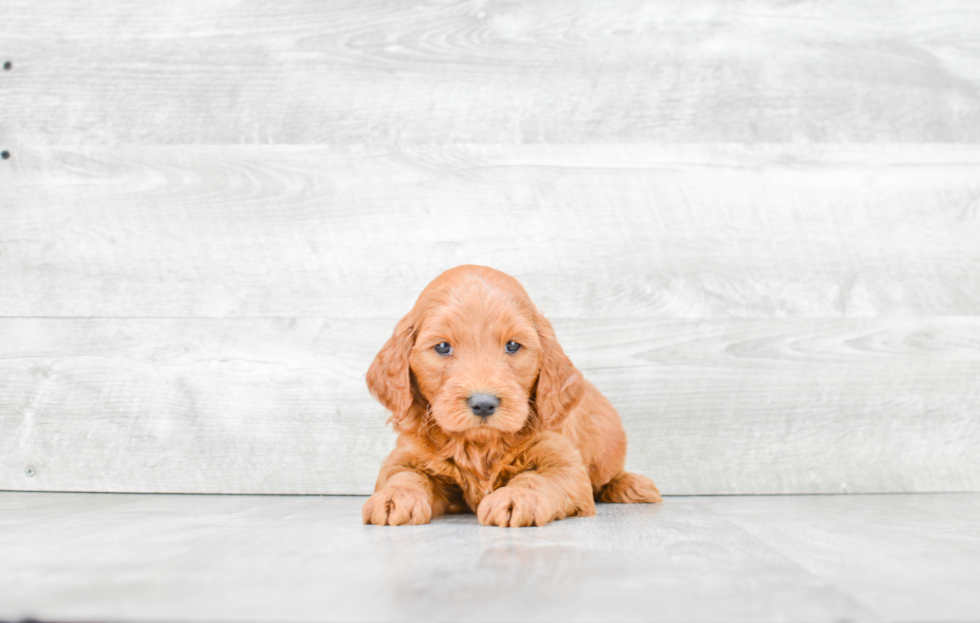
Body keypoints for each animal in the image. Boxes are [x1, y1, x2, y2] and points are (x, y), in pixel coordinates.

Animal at [364, 266, 664, 528]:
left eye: (512, 346)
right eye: (442, 347)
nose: (483, 404)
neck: (479, 446)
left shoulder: (564, 464)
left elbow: (538, 478)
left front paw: (516, 497)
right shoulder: (406, 455)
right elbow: (403, 475)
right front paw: (393, 497)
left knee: (608, 477)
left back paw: (632, 485)